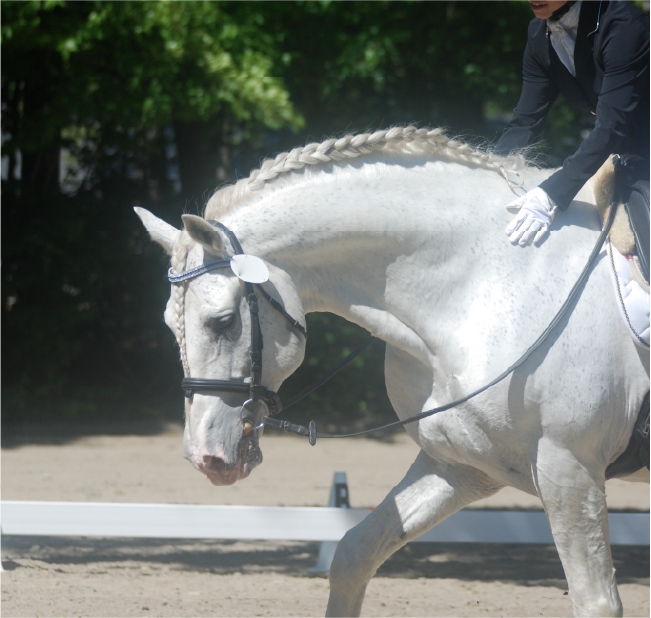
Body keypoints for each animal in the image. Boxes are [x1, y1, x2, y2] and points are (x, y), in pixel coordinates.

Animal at [135, 127, 649, 618]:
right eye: (167, 326)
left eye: (222, 321)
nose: (206, 457)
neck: (480, 285)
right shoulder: (462, 466)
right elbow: (352, 554)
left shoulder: (570, 467)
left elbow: (596, 602)